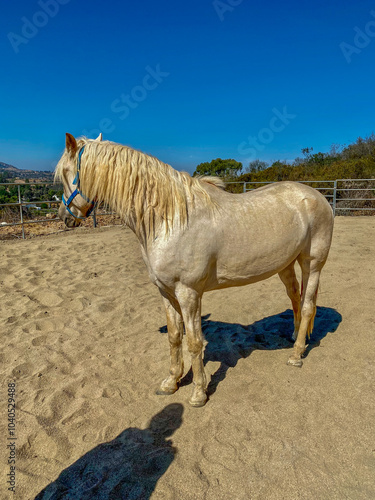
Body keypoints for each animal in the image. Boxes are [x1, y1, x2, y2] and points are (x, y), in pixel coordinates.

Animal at [55, 133, 334, 406]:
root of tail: (319, 197)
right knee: (295, 298)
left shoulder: (189, 293)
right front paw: (171, 382)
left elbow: (194, 341)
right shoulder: (166, 292)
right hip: (285, 265)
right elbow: (174, 336)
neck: (170, 219)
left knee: (308, 306)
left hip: (312, 264)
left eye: (67, 173)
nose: (65, 218)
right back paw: (295, 337)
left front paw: (199, 392)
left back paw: (296, 355)